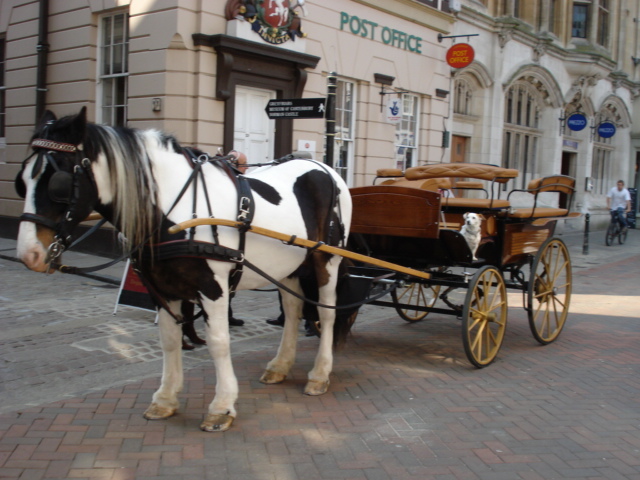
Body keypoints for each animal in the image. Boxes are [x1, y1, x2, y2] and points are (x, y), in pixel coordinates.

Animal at [14, 107, 353, 432]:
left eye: (58, 184)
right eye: (22, 181)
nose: (29, 254)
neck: (174, 212)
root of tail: (327, 169)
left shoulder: (213, 288)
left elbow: (219, 342)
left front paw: (222, 406)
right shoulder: (162, 287)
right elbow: (169, 339)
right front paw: (165, 399)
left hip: (326, 261)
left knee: (326, 313)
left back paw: (319, 374)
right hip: (290, 266)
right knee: (294, 310)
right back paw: (280, 365)